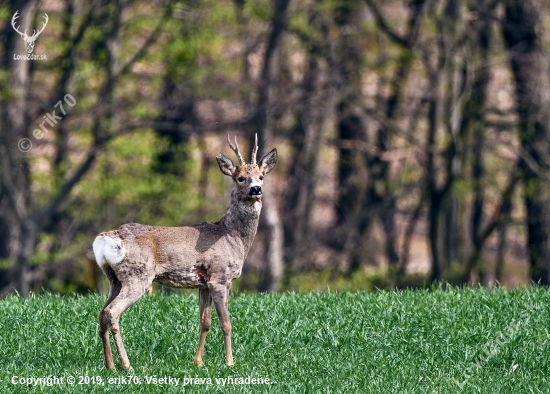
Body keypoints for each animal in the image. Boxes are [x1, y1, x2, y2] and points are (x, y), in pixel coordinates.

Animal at [93, 135, 280, 370]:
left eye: (261, 176)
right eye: (240, 178)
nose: (256, 189)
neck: (232, 236)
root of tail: (106, 238)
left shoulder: (204, 283)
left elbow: (205, 322)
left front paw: (198, 361)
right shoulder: (220, 277)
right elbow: (226, 323)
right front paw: (230, 363)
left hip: (114, 278)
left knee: (102, 313)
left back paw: (110, 365)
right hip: (138, 275)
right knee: (112, 312)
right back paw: (126, 364)